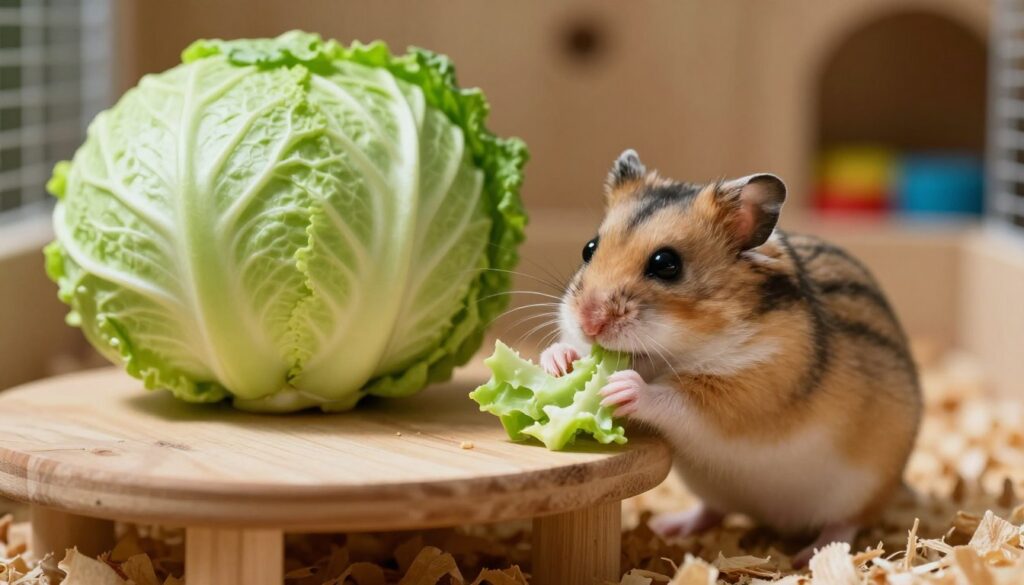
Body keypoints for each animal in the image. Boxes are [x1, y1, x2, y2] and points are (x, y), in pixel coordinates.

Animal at [540, 149, 922, 566]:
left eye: (666, 264)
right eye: (589, 248)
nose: (588, 322)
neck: (675, 351)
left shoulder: (751, 389)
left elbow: (678, 397)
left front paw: (619, 386)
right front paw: (558, 361)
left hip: (863, 489)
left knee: (846, 525)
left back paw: (810, 556)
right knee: (713, 511)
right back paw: (669, 526)